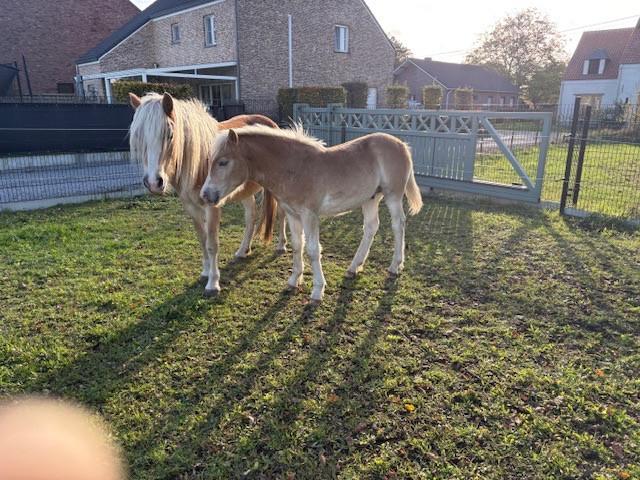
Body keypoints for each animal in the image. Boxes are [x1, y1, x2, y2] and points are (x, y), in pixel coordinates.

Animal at [128, 92, 286, 296]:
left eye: (170, 135)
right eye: (138, 137)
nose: (154, 183)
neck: (198, 161)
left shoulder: (212, 206)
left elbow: (212, 244)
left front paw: (213, 283)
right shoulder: (191, 207)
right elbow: (202, 240)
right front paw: (205, 272)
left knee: (281, 215)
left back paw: (281, 246)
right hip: (245, 192)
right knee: (251, 217)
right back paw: (243, 250)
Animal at [200, 125, 424, 302]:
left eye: (223, 162)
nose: (205, 195)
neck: (294, 168)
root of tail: (401, 144)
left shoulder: (310, 215)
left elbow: (313, 250)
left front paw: (317, 290)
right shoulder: (292, 215)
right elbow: (297, 246)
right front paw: (294, 280)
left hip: (393, 195)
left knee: (398, 224)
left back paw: (395, 266)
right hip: (370, 199)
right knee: (370, 227)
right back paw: (354, 267)